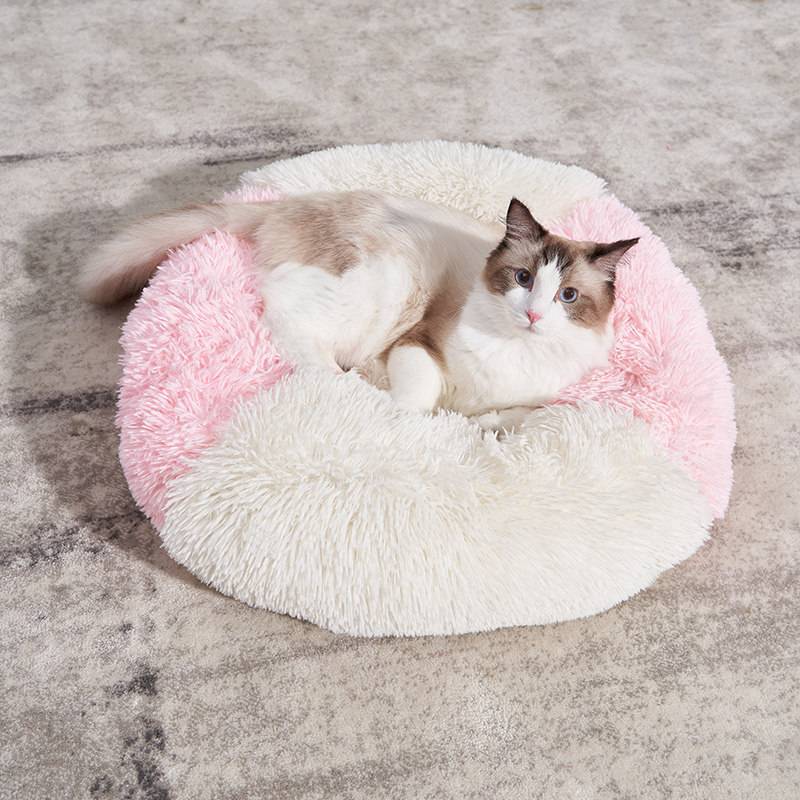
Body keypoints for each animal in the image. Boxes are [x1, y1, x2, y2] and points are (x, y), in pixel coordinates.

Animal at [80, 190, 638, 431]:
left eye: (567, 296)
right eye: (523, 279)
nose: (534, 316)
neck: (514, 352)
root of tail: (283, 204)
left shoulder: (537, 400)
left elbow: (512, 417)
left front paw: (486, 425)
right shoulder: (415, 344)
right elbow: (419, 402)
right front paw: (415, 419)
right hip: (389, 283)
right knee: (287, 319)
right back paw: (348, 386)